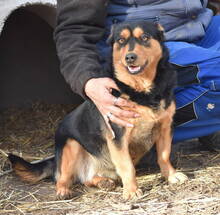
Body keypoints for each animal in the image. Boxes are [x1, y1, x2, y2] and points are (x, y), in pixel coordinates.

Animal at [8, 21, 187, 200]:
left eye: (144, 37)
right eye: (121, 40)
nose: (130, 57)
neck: (141, 89)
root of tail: (55, 160)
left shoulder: (165, 127)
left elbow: (164, 155)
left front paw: (171, 175)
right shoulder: (118, 135)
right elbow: (127, 166)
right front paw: (131, 190)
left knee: (87, 179)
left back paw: (103, 182)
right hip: (70, 146)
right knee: (63, 177)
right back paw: (63, 190)